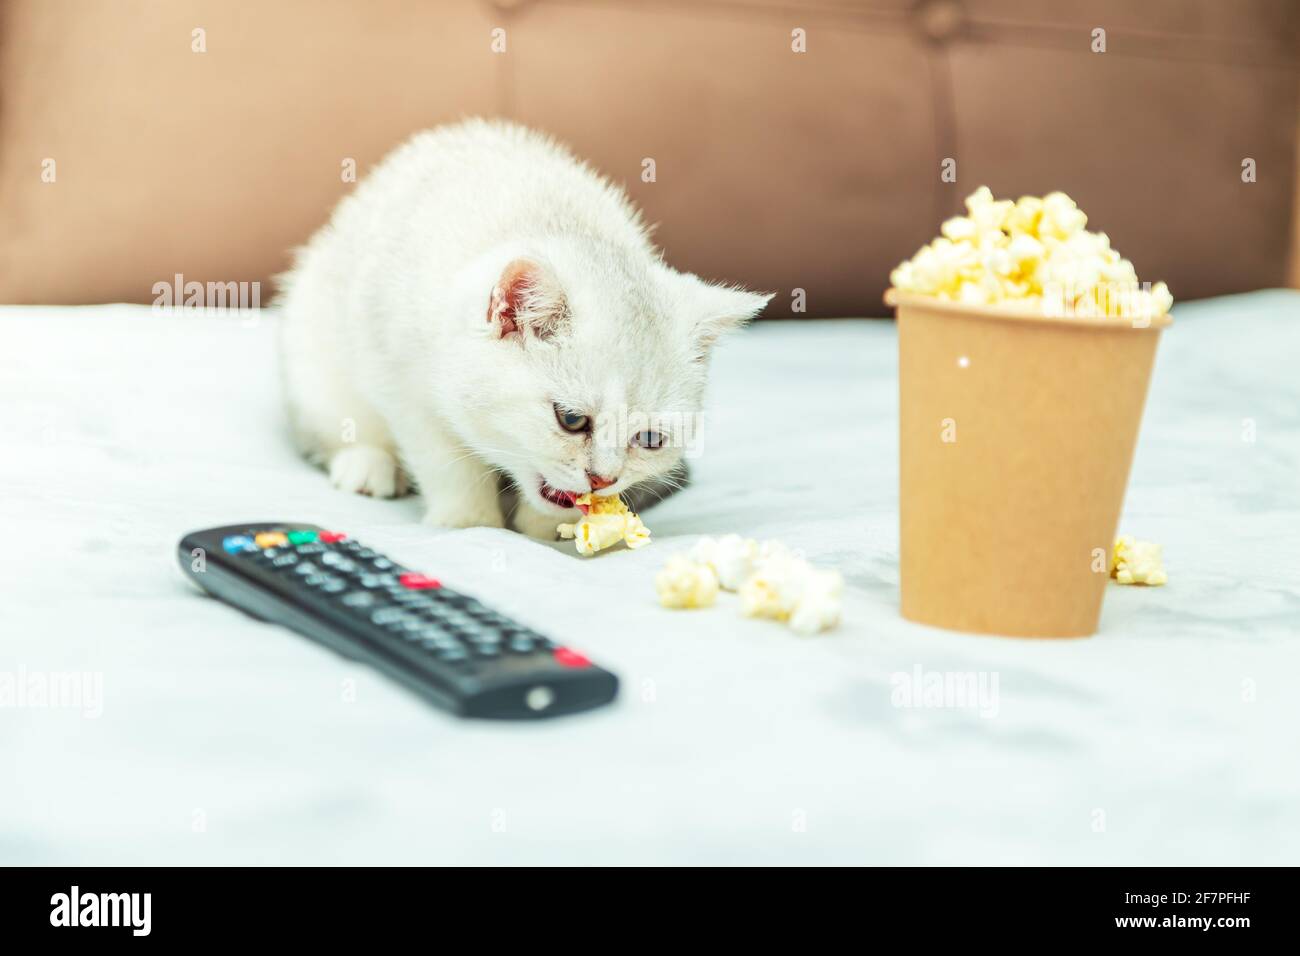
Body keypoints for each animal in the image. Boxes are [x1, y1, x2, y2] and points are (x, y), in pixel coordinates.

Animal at [279, 120, 764, 538]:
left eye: (649, 439)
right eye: (571, 419)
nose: (603, 479)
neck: (551, 224)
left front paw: (546, 534)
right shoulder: (399, 374)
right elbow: (447, 461)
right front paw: (468, 524)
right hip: (314, 345)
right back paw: (366, 464)